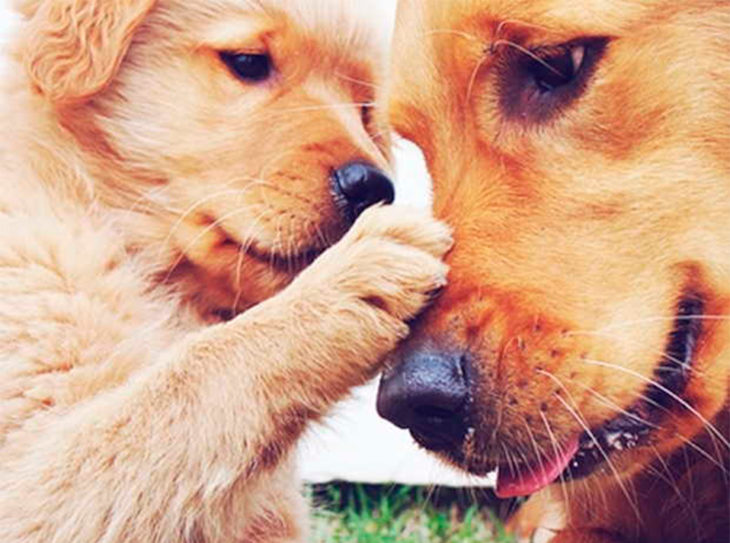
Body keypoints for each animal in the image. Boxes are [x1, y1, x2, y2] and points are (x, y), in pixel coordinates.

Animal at [0, 1, 452, 543]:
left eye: (364, 107)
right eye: (248, 62)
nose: (373, 188)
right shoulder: (25, 473)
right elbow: (189, 382)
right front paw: (347, 281)